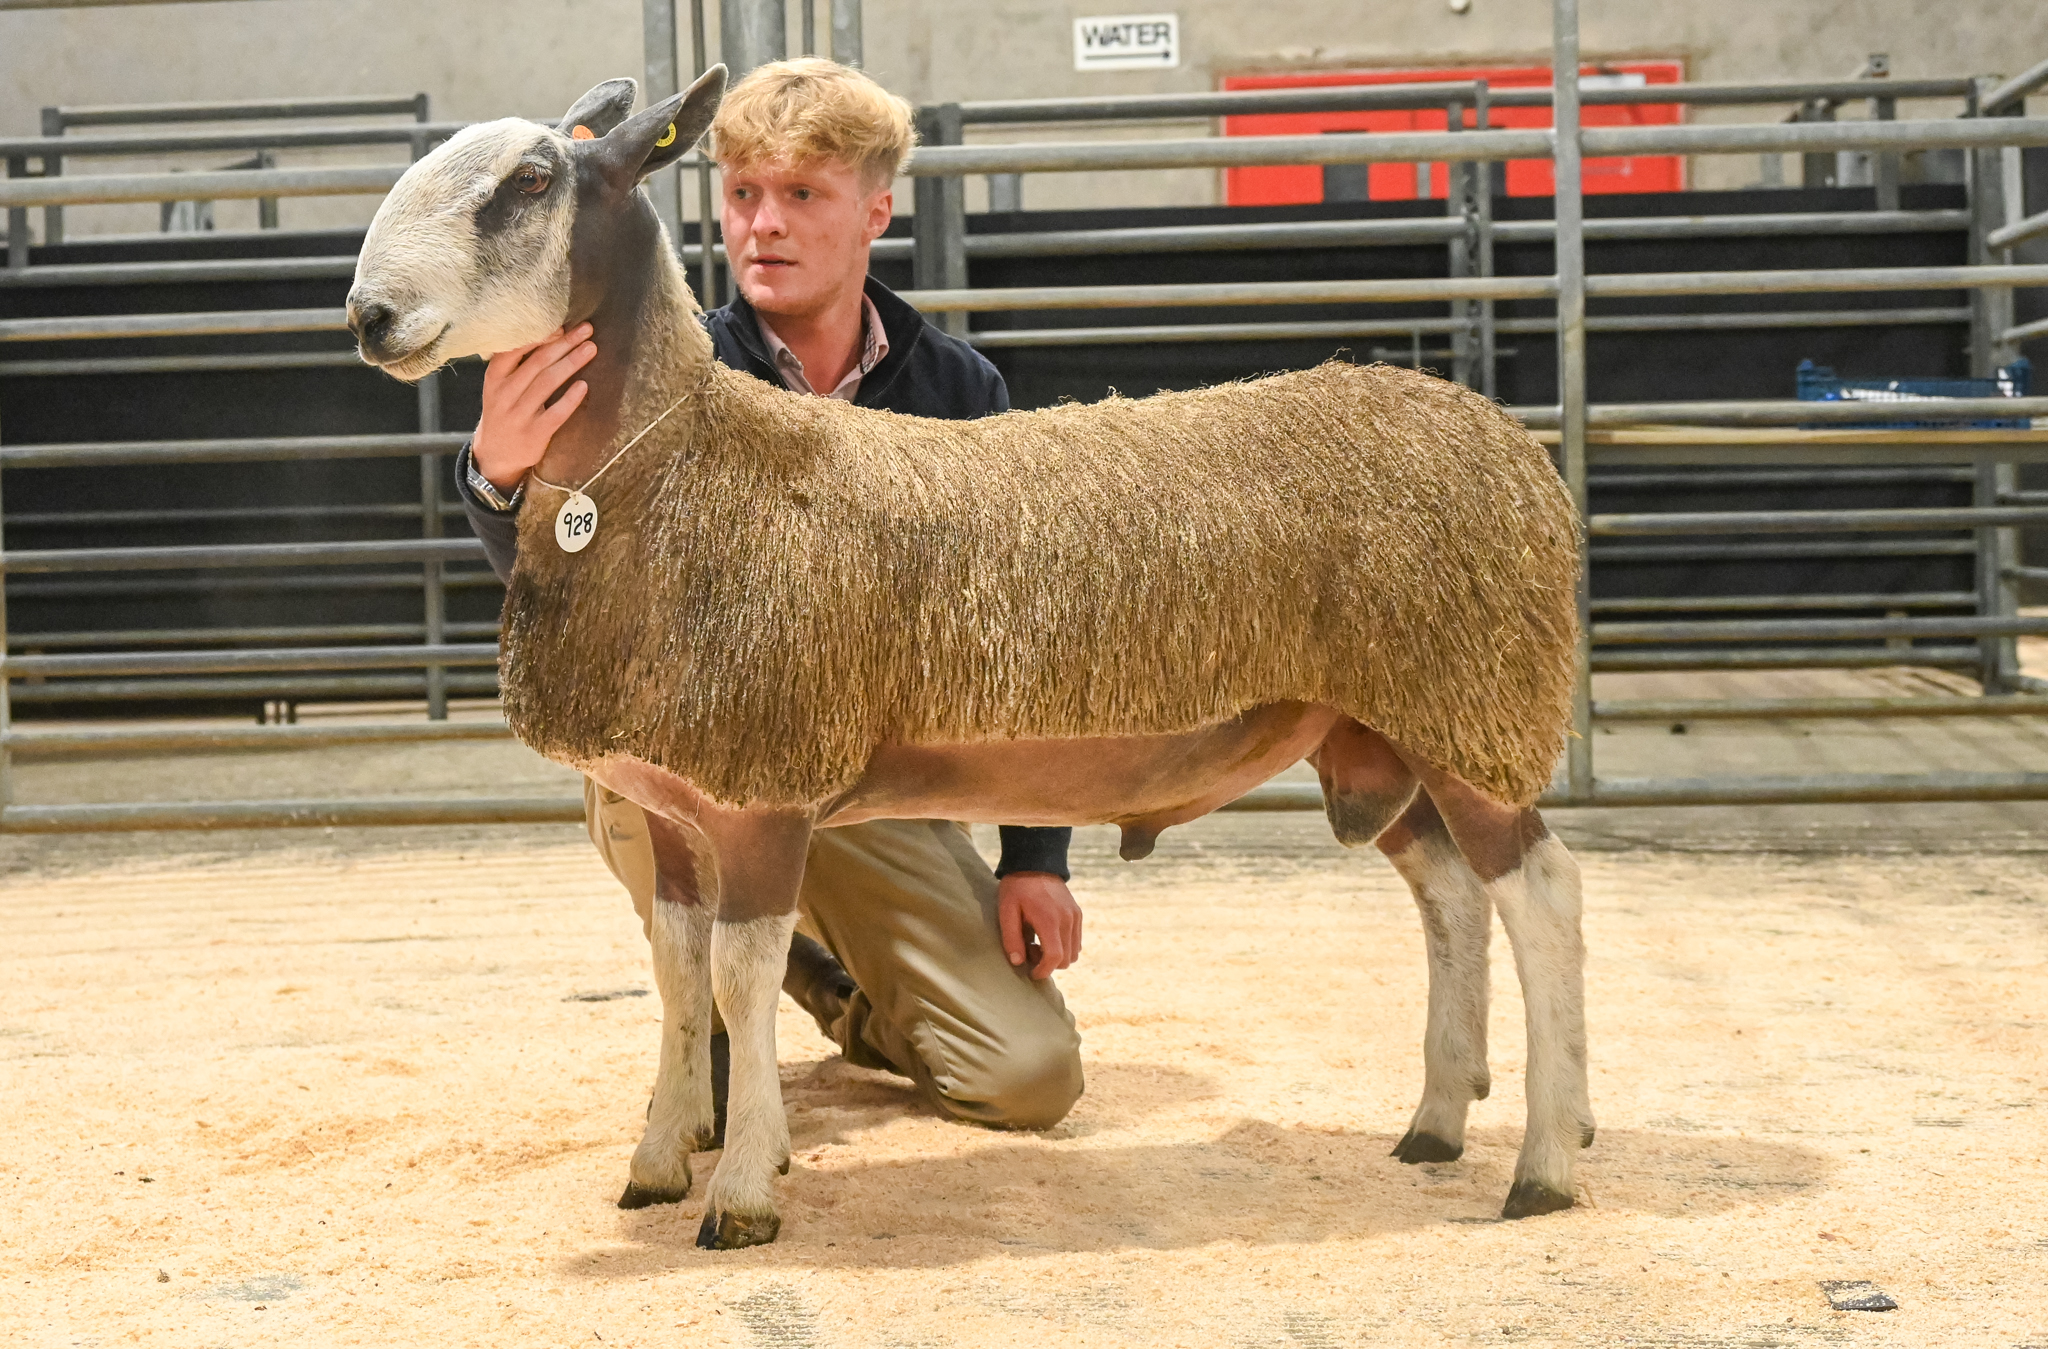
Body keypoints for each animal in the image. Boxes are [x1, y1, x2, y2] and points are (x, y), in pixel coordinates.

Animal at [352, 71, 1589, 1252]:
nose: (368, 315)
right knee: (1448, 897)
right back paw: (1436, 1122)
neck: (661, 470)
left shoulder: (763, 791)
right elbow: (674, 971)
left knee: (1537, 894)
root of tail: (1505, 441)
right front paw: (659, 1158)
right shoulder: (665, 804)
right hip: (1382, 729)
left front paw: (741, 1192)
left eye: (528, 182)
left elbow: (740, 978)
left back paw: (1545, 1161)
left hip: (1471, 702)